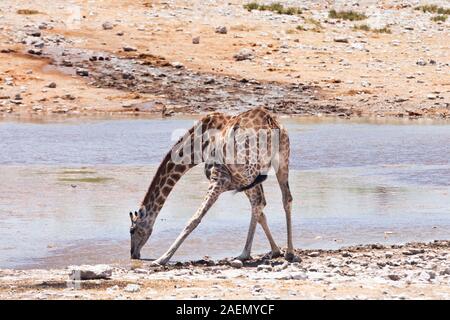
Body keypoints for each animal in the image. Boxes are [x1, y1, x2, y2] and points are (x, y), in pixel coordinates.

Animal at [128, 107, 294, 264]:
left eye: (132, 230)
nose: (133, 254)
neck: (197, 149)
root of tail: (270, 123)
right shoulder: (239, 179)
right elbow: (261, 213)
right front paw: (276, 250)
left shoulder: (222, 177)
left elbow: (196, 218)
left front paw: (162, 259)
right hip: (282, 159)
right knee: (285, 199)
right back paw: (289, 252)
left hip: (249, 170)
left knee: (259, 203)